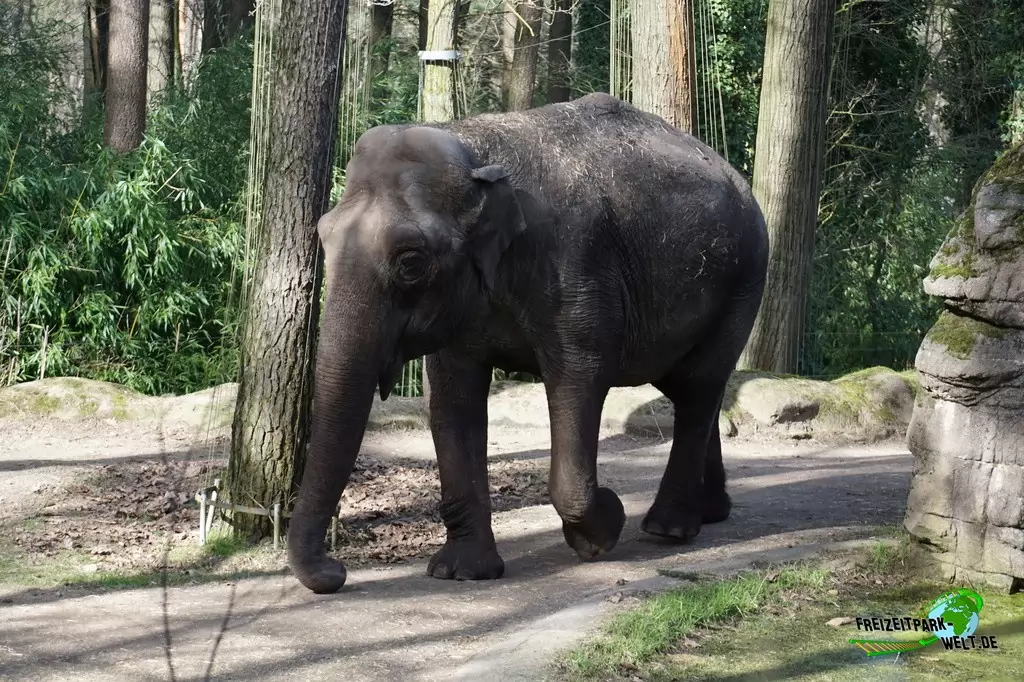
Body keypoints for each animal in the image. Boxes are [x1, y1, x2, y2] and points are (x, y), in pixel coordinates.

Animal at [287, 93, 769, 594]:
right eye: (323, 237)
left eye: (411, 262)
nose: (336, 572)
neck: (475, 147)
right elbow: (452, 400)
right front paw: (462, 572)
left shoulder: (577, 267)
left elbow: (580, 378)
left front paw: (604, 530)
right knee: (689, 389)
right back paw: (711, 514)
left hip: (745, 280)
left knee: (698, 387)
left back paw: (668, 529)